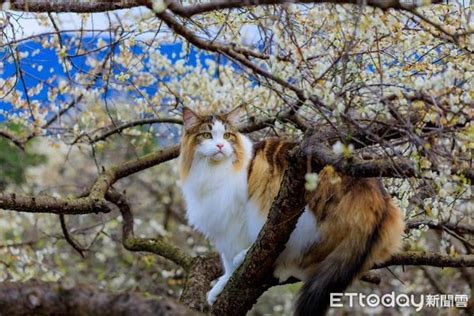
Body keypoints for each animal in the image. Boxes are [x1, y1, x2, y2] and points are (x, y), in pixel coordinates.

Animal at [178, 105, 404, 314]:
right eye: (207, 135)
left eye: (227, 136)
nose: (220, 145)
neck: (213, 172)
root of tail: (379, 197)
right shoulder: (221, 226)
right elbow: (226, 260)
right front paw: (220, 286)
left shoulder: (234, 219)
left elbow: (232, 260)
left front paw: (227, 278)